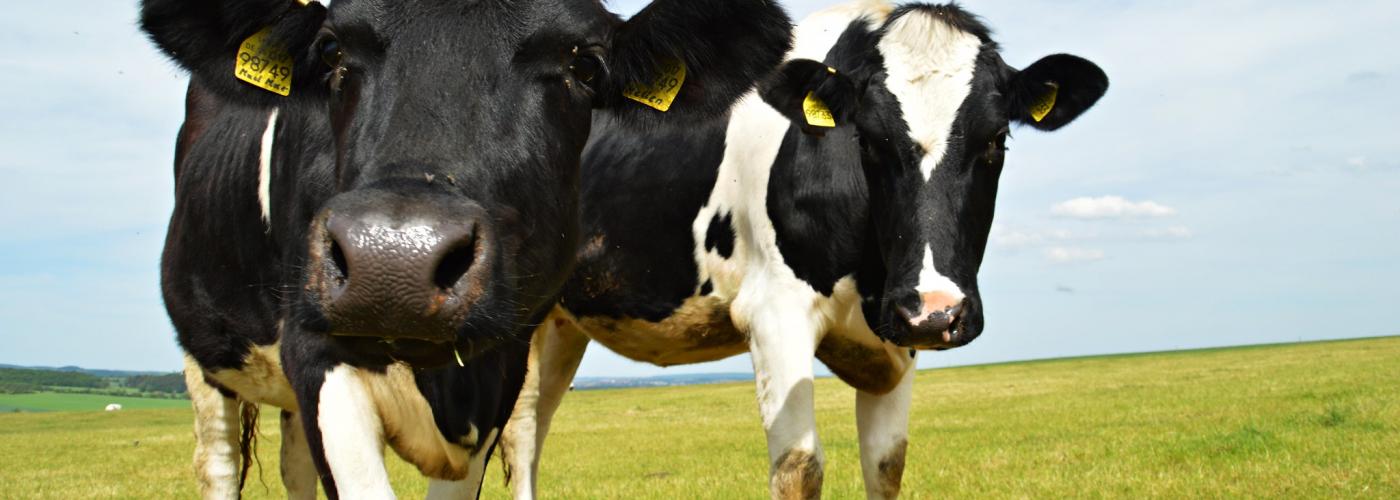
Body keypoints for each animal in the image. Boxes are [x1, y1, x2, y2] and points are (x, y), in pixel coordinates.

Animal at [139, 0, 794, 497]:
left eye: (585, 65)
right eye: (330, 52)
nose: (394, 260)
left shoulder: (501, 367)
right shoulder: (315, 347)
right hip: (207, 357)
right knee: (218, 464)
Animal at [500, 1, 1108, 498]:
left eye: (996, 141)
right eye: (870, 140)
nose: (937, 313)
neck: (869, 277)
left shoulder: (898, 331)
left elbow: (886, 464)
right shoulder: (775, 312)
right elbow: (799, 467)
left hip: (564, 323)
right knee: (520, 433)